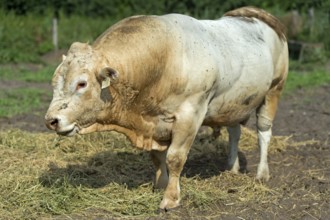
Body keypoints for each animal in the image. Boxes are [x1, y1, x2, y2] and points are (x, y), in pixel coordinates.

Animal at [45, 6, 288, 210]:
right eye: (54, 82)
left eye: (81, 83)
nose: (51, 120)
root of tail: (255, 13)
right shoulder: (154, 122)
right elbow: (156, 157)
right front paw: (159, 184)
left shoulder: (189, 116)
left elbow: (175, 158)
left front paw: (170, 198)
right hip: (233, 104)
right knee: (234, 131)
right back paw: (232, 167)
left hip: (274, 90)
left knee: (264, 133)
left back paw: (262, 174)